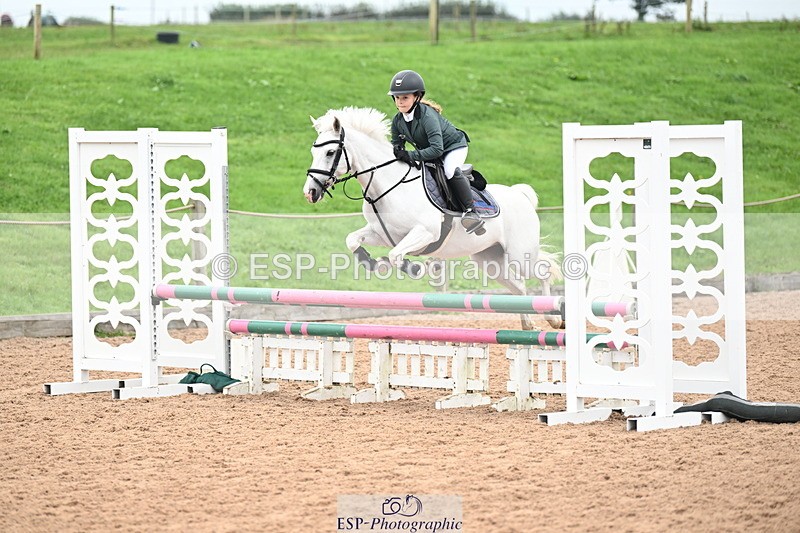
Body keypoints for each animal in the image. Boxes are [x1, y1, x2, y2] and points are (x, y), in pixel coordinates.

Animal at [303, 107, 562, 329]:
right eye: (313, 152)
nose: (310, 192)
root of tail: (520, 195)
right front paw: (372, 263)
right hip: (490, 260)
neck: (388, 184)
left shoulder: (425, 233)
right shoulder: (382, 233)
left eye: (330, 152)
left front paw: (415, 268)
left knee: (543, 271)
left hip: (519, 255)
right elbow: (352, 240)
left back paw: (554, 319)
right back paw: (528, 324)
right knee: (519, 287)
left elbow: (396, 256)